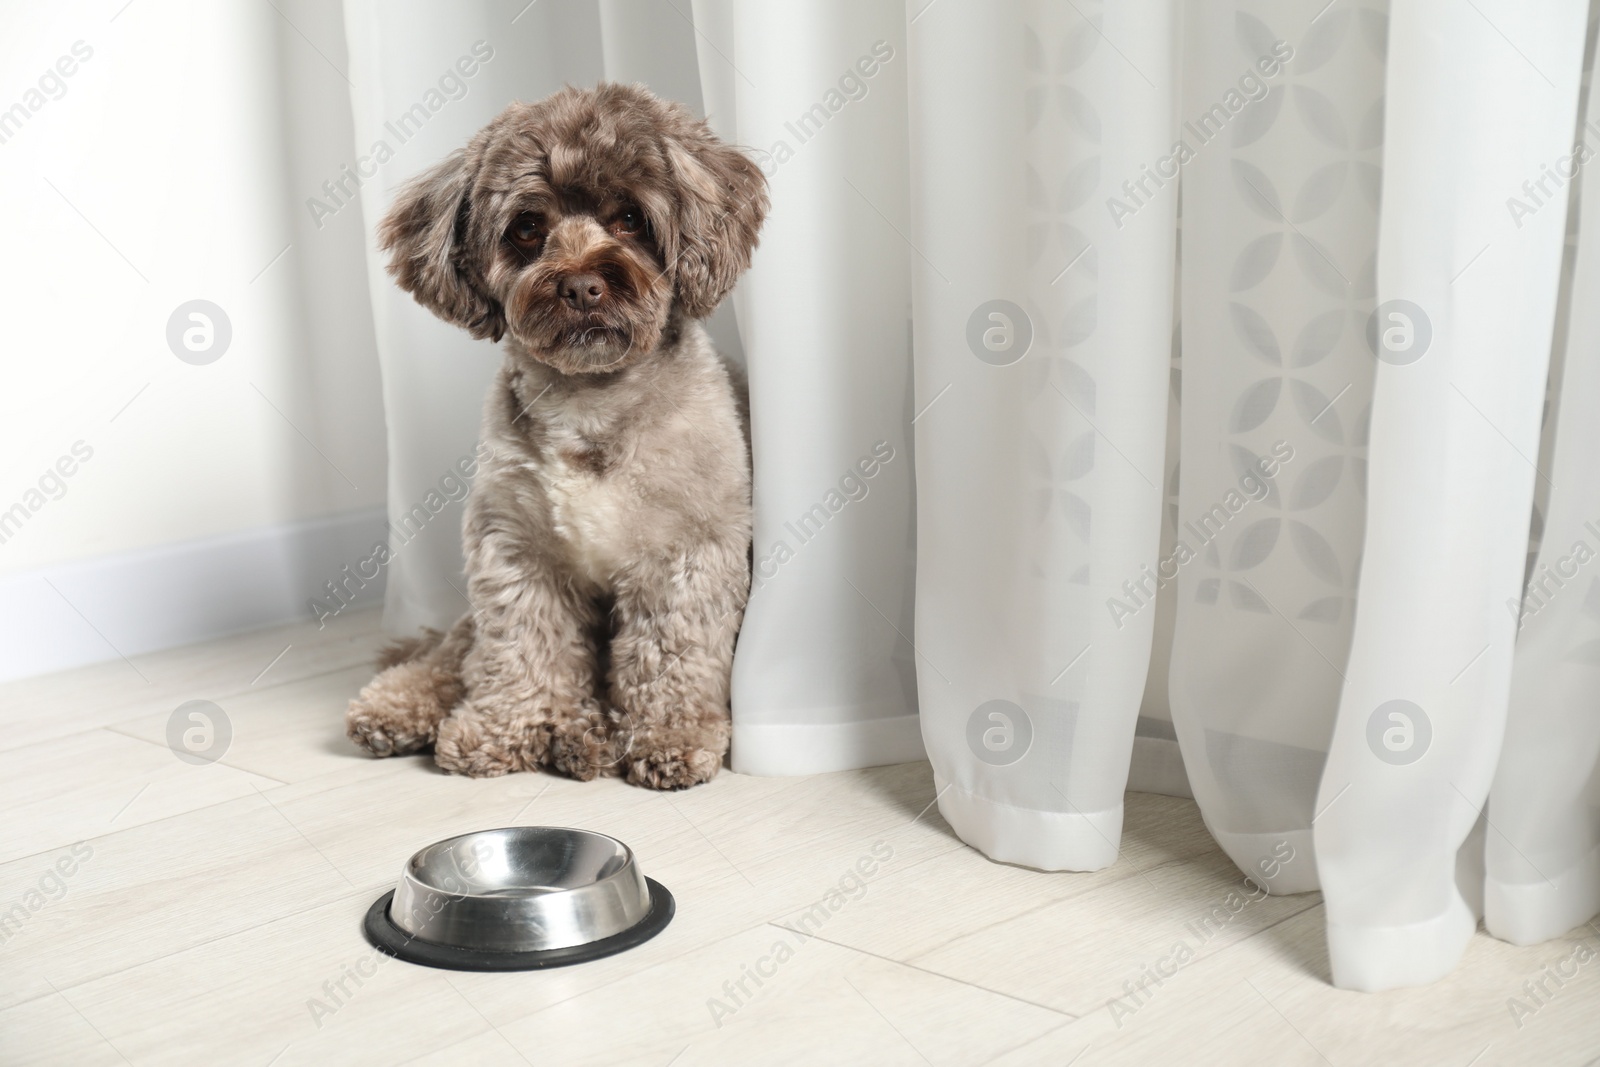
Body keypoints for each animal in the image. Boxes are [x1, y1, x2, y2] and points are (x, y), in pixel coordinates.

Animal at [347, 83, 771, 790]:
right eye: (527, 227)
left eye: (629, 218)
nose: (580, 284)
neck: (592, 403)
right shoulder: (516, 551)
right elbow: (520, 648)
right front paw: (503, 728)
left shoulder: (687, 553)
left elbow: (672, 654)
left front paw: (670, 736)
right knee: (454, 651)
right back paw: (403, 705)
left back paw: (584, 739)